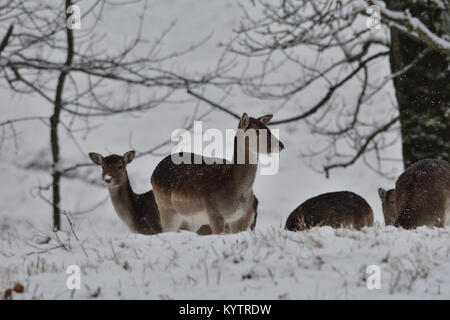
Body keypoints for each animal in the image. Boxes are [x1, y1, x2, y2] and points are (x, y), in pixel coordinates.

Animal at [151, 113, 284, 235]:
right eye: (257, 131)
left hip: (190, 219)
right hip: (166, 208)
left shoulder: (239, 217)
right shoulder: (215, 213)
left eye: (268, 128)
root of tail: (153, 173)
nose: (281, 145)